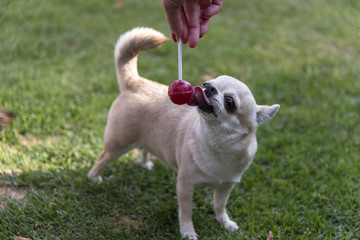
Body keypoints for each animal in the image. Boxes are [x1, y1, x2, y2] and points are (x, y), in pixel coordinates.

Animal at [88, 27, 280, 239]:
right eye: (206, 83)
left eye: (230, 102)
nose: (208, 87)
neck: (217, 143)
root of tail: (136, 82)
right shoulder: (185, 185)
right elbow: (186, 211)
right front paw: (188, 231)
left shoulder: (226, 187)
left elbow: (219, 206)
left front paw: (225, 222)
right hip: (119, 143)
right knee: (103, 157)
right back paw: (94, 178)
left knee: (144, 147)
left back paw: (144, 163)